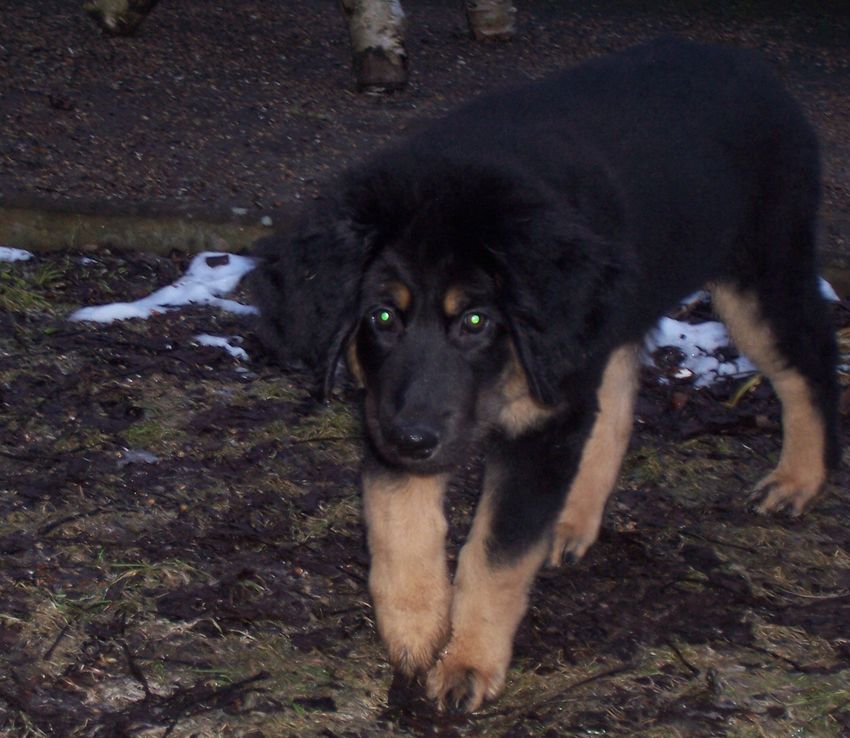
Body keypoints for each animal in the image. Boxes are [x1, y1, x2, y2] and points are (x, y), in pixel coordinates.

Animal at [250, 38, 840, 711]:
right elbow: (397, 519)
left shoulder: (538, 423)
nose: (415, 440)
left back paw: (798, 479)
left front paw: (468, 662)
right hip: (601, 322)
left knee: (809, 359)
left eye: (475, 319)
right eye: (381, 316)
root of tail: (751, 66)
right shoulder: (389, 409)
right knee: (614, 405)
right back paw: (573, 519)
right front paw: (416, 630)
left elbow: (495, 553)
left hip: (758, 270)